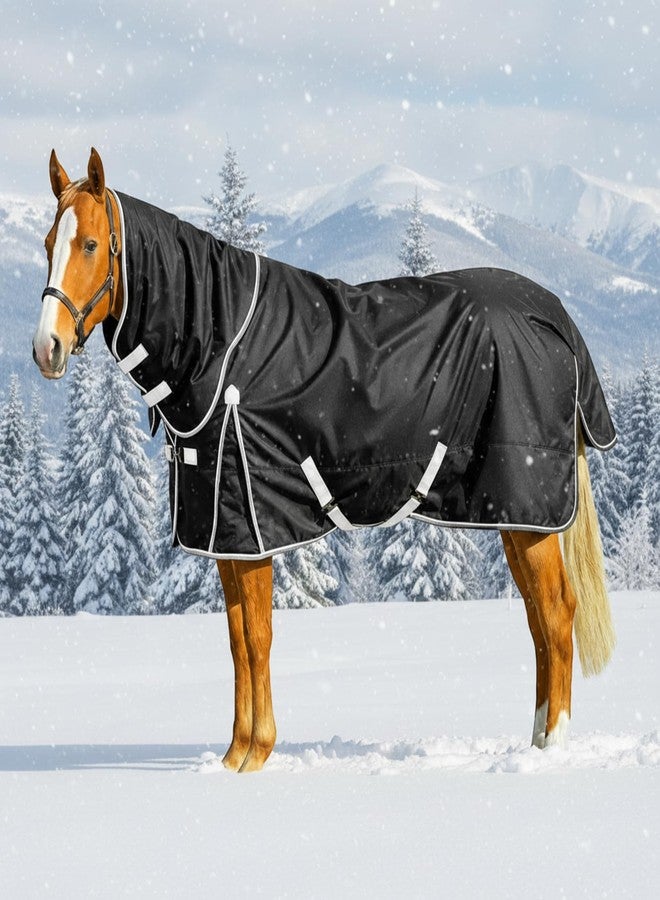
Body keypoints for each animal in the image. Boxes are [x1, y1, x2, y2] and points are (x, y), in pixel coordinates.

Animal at [33, 148, 616, 773]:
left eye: (91, 244)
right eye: (47, 243)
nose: (47, 349)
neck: (221, 344)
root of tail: (551, 313)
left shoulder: (253, 524)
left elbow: (258, 635)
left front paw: (257, 753)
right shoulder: (223, 529)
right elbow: (237, 639)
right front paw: (234, 759)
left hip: (527, 505)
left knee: (556, 613)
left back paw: (551, 747)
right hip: (512, 515)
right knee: (538, 618)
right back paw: (535, 741)